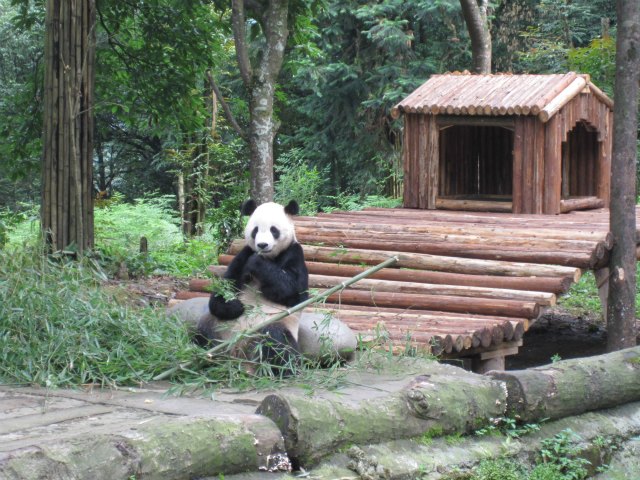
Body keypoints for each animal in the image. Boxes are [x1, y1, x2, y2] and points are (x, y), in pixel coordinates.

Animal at [197, 199, 309, 375]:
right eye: (255, 230)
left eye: (274, 230)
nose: (262, 245)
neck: (269, 257)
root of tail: (239, 357)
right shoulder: (243, 255)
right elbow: (225, 288)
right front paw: (237, 306)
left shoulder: (294, 253)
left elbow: (293, 291)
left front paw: (257, 263)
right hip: (219, 327)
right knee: (203, 333)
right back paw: (203, 359)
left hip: (270, 327)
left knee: (277, 342)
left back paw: (285, 370)